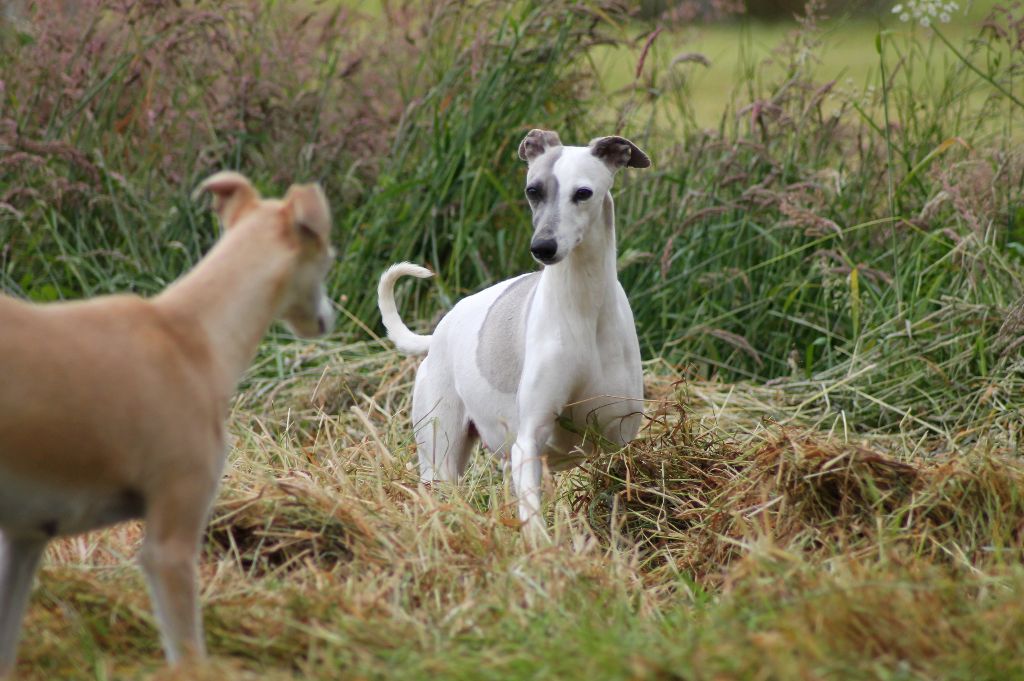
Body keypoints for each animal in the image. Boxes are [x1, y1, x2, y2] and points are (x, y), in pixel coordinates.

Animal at [0, 171, 337, 675]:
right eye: (329, 257)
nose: (329, 318)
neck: (194, 332)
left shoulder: (25, 538)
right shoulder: (170, 543)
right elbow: (190, 658)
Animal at [376, 127, 647, 532]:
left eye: (583, 193)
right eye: (533, 190)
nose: (543, 247)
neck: (584, 310)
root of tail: (440, 330)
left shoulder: (619, 437)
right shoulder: (529, 440)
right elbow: (534, 522)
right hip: (441, 453)